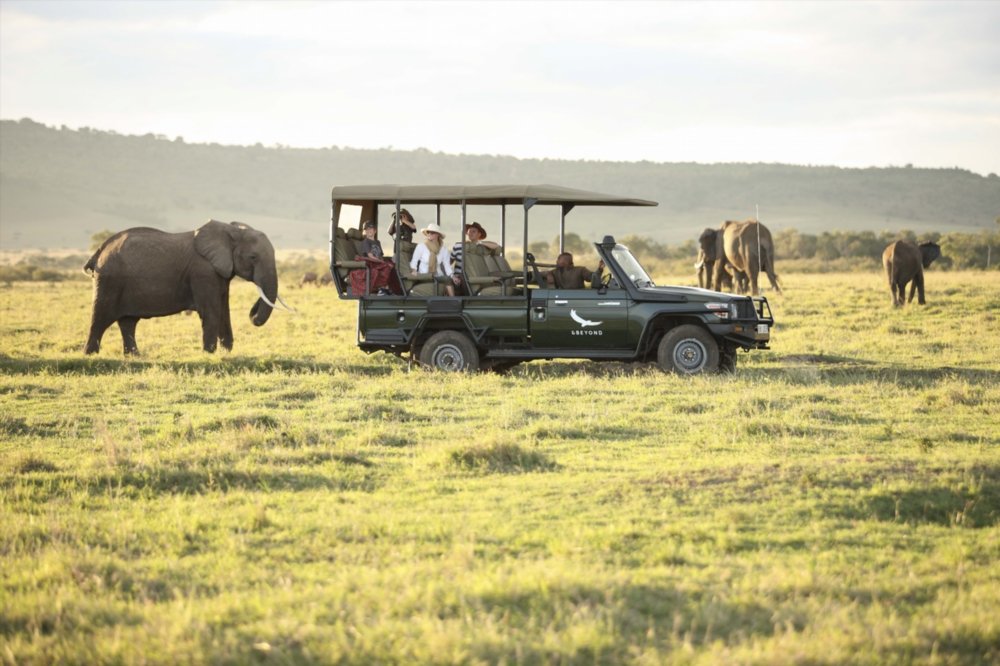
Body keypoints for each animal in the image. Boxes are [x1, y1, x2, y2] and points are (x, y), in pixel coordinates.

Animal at [82, 218, 290, 352]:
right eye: (253, 257)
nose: (253, 310)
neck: (231, 231)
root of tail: (99, 252)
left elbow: (224, 309)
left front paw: (227, 352)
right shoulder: (203, 273)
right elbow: (211, 311)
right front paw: (209, 354)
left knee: (128, 322)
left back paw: (134, 356)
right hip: (109, 281)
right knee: (100, 318)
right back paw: (90, 354)